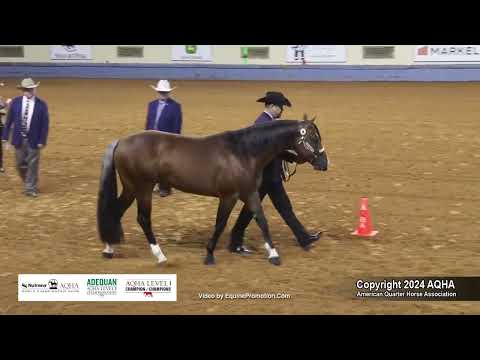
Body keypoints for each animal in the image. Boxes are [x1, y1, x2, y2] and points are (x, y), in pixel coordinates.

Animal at [95, 114, 328, 266]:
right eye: (313, 138)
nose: (324, 163)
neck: (243, 152)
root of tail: (121, 141)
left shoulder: (250, 193)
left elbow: (262, 220)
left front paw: (273, 254)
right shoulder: (228, 196)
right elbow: (220, 224)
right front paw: (209, 255)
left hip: (130, 188)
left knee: (115, 211)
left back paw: (109, 249)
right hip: (143, 188)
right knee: (143, 219)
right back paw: (160, 256)